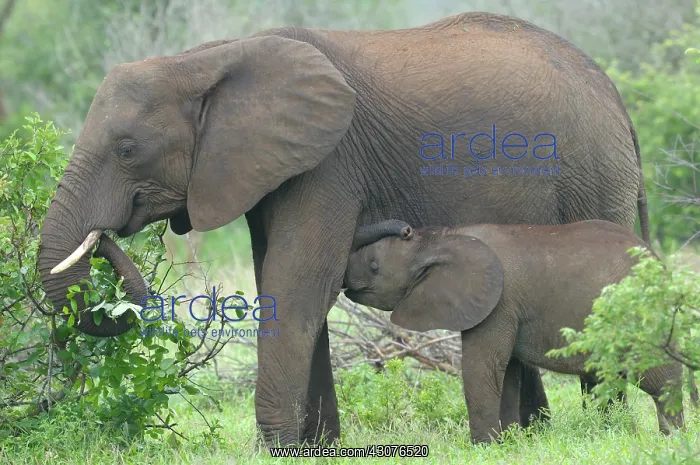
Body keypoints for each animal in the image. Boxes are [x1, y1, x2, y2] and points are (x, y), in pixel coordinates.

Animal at [343, 219, 685, 443]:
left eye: (373, 267)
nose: (405, 228)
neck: (441, 238)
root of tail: (657, 262)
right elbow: (505, 373)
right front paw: (507, 443)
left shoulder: (498, 303)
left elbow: (482, 367)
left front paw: (483, 448)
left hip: (639, 318)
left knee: (659, 380)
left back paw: (673, 440)